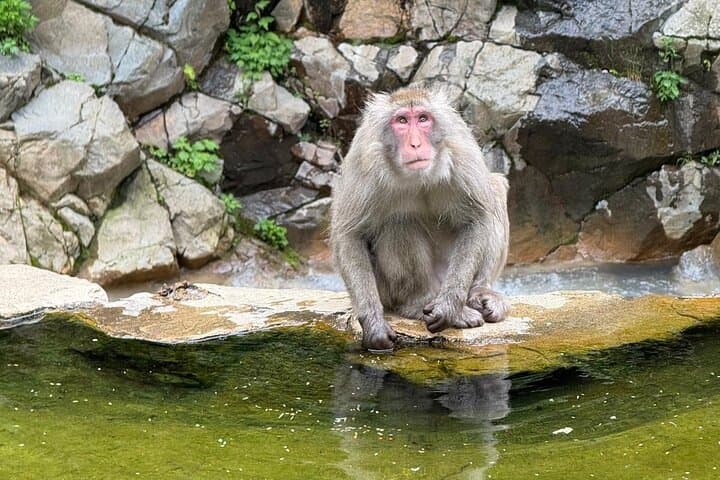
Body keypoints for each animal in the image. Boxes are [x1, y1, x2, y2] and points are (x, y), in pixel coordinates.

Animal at [330, 86, 510, 352]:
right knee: (399, 222)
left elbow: (478, 217)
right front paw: (373, 324)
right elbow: (350, 234)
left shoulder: (460, 147)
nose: (415, 144)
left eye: (423, 119)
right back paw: (417, 304)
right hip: (387, 290)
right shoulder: (364, 158)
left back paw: (480, 293)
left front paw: (449, 307)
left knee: (495, 188)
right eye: (402, 121)